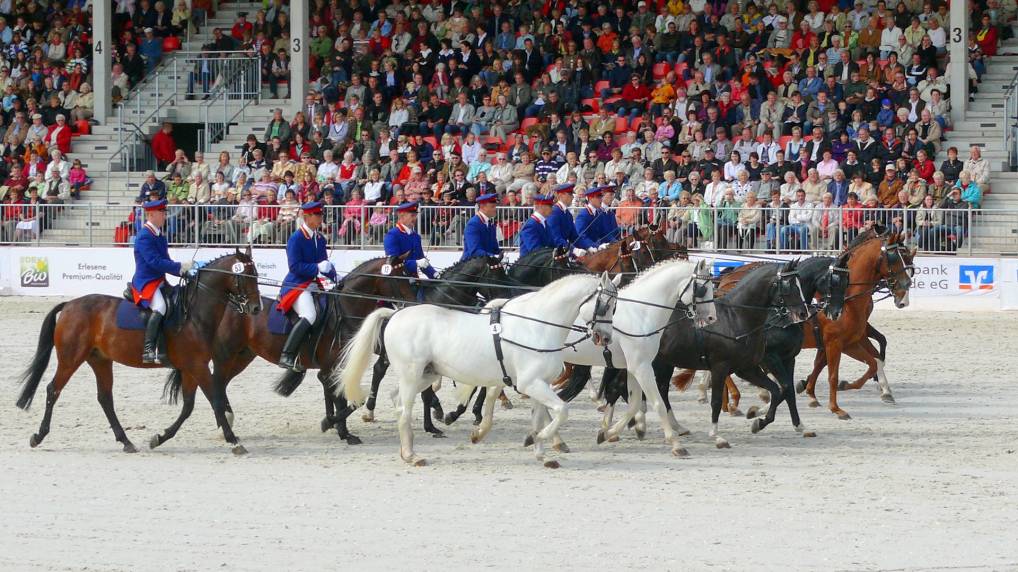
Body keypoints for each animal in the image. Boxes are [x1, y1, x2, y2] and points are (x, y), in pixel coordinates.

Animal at [16, 249, 262, 453]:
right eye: (246, 276)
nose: (256, 308)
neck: (195, 313)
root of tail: (69, 305)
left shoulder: (191, 367)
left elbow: (188, 406)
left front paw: (159, 438)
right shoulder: (196, 366)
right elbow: (216, 401)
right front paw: (234, 441)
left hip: (100, 360)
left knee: (105, 398)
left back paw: (126, 441)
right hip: (70, 359)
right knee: (53, 390)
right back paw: (39, 436)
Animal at [156, 253, 415, 445]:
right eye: (401, 277)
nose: (411, 304)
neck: (343, 309)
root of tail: (232, 303)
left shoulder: (332, 367)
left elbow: (339, 396)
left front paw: (339, 429)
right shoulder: (330, 365)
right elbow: (345, 399)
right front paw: (335, 427)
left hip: (243, 357)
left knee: (221, 384)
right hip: (226, 355)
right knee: (217, 383)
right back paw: (225, 425)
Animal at [337, 270, 614, 464]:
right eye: (605, 305)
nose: (606, 338)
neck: (537, 327)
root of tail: (395, 314)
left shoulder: (538, 385)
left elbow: (541, 416)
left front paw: (542, 454)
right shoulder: (530, 384)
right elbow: (562, 410)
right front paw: (538, 439)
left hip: (426, 374)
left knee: (396, 400)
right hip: (411, 374)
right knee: (404, 410)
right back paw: (412, 456)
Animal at [798, 227, 920, 419]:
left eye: (911, 266)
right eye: (895, 259)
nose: (903, 300)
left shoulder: (854, 336)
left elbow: (876, 357)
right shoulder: (839, 339)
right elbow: (826, 365)